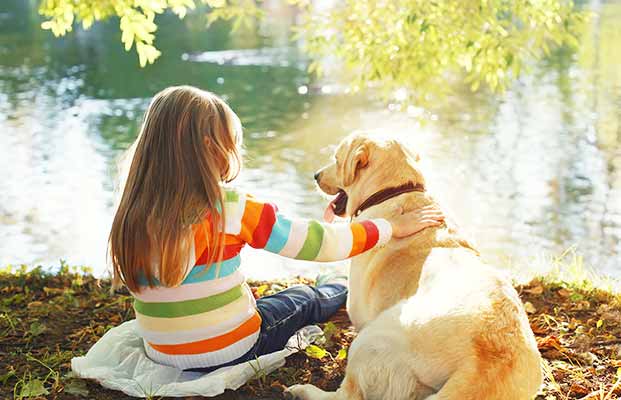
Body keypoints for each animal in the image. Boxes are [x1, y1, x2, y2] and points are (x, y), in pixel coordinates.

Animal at [286, 134, 544, 400]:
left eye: (337, 159)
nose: (316, 175)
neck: (395, 192)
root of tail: (485, 365)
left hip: (373, 336)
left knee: (347, 394)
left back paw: (304, 390)